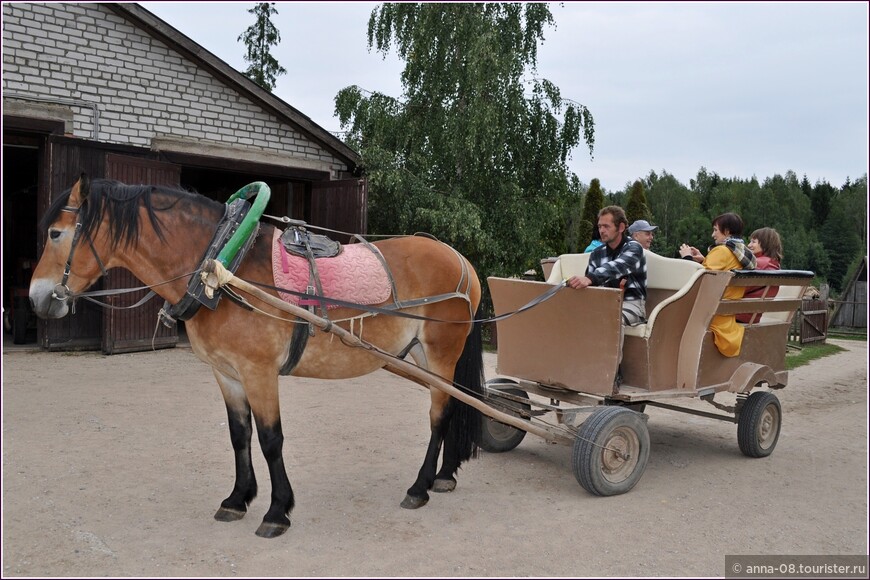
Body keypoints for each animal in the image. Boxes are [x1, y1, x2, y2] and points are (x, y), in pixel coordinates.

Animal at [27, 174, 488, 536]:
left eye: (55, 233)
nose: (36, 299)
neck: (223, 265)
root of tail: (461, 259)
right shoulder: (227, 373)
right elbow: (239, 435)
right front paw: (237, 499)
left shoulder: (259, 372)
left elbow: (270, 439)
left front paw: (277, 510)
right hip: (423, 358)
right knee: (452, 407)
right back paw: (444, 475)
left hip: (441, 353)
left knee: (440, 414)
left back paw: (420, 486)